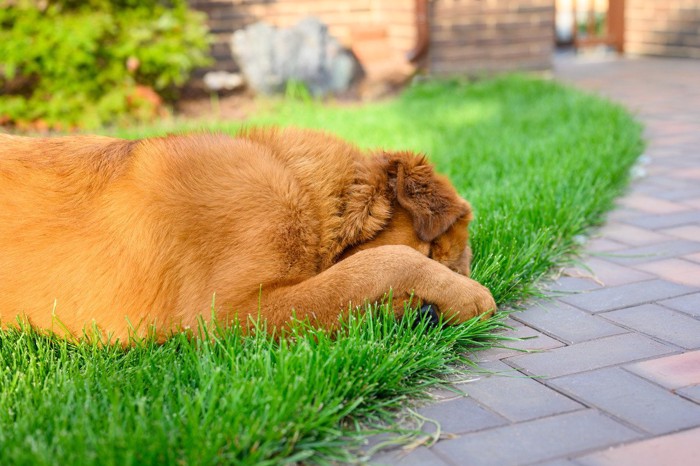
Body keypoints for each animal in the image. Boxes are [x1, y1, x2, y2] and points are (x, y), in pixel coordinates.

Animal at [0, 128, 498, 342]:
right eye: (431, 249)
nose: (427, 316)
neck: (304, 189)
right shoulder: (231, 311)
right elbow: (381, 262)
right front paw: (470, 297)